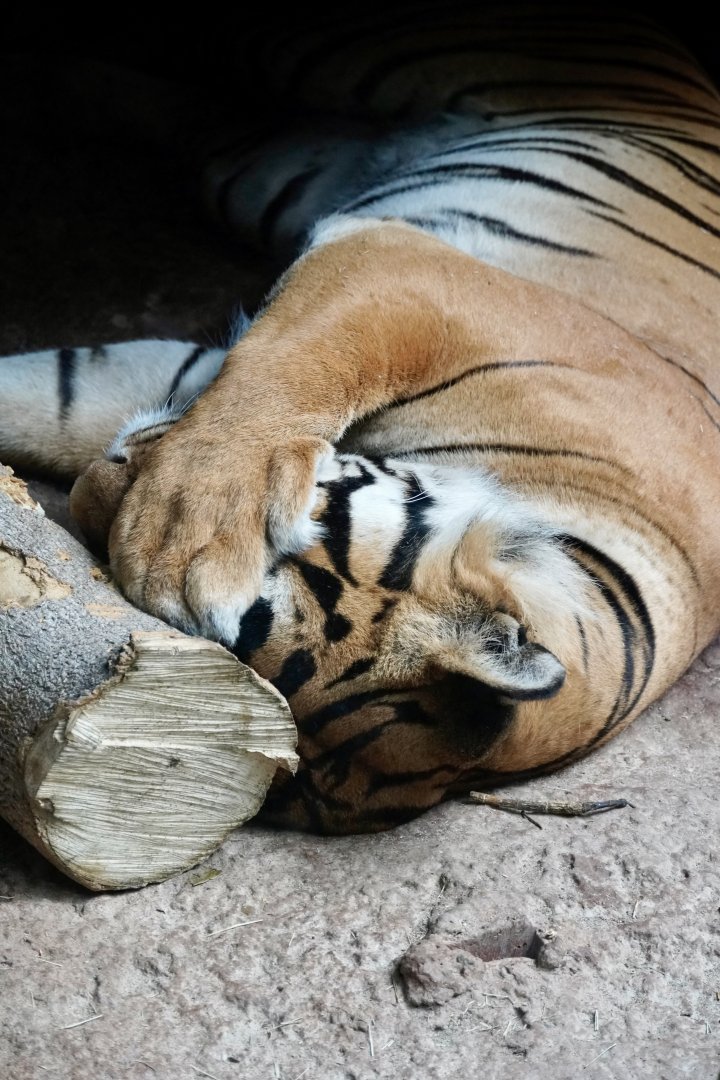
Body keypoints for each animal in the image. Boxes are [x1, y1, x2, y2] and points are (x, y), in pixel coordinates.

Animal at [1, 3, 719, 835]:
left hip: (260, 168)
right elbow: (295, 368)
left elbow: (56, 399)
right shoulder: (405, 270)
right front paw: (180, 546)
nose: (94, 487)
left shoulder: (191, 369)